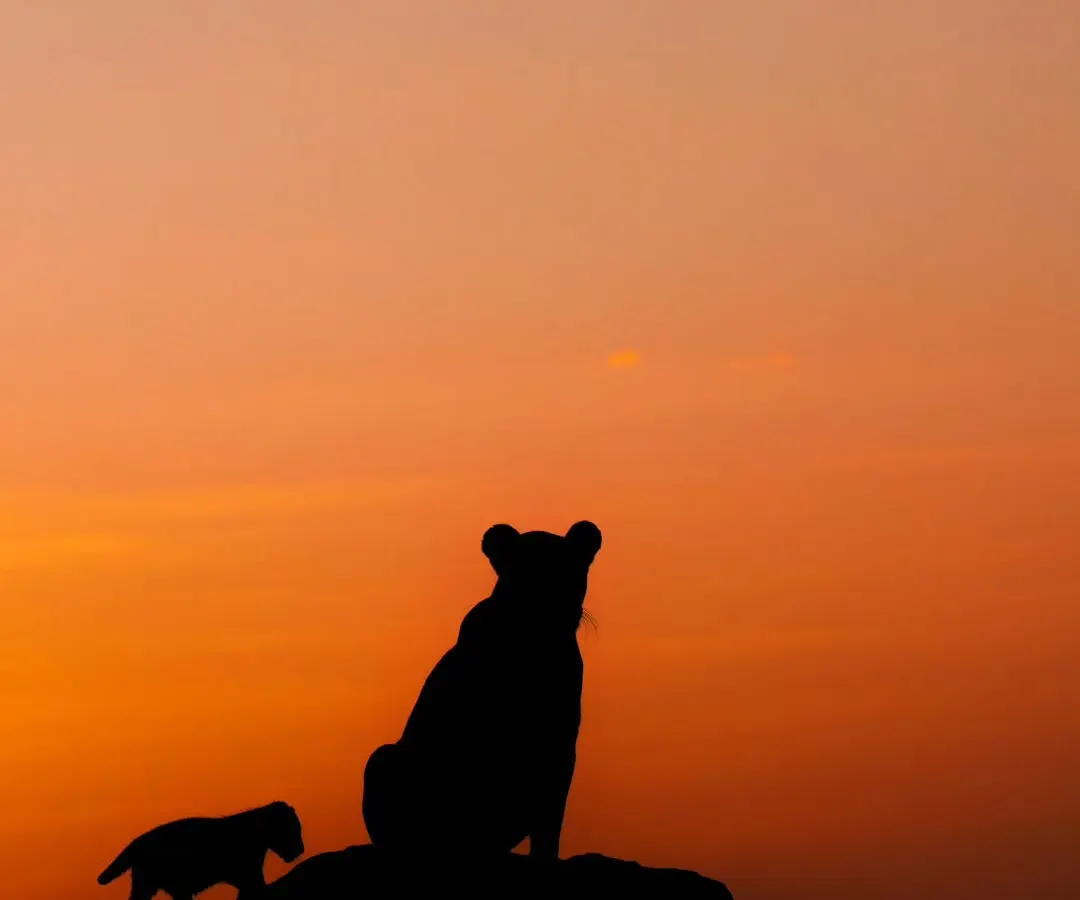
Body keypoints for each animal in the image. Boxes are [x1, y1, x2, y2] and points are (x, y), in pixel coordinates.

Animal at [96, 800, 304, 900]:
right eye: (291, 828)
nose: (300, 850)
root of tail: (138, 842)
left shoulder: (248, 879)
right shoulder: (249, 876)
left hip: (160, 888)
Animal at [362, 520, 603, 861]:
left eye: (568, 571)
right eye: (524, 571)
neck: (536, 645)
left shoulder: (560, 739)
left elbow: (550, 820)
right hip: (382, 758)